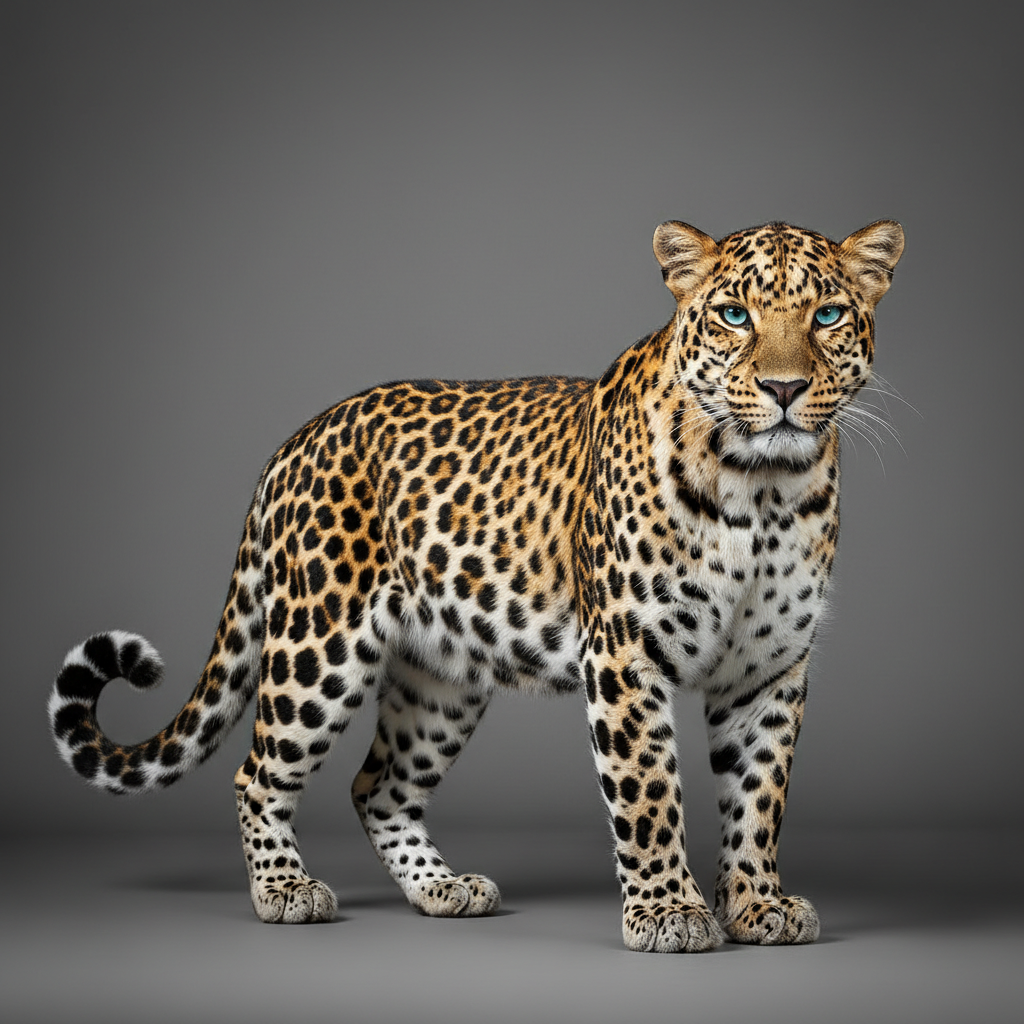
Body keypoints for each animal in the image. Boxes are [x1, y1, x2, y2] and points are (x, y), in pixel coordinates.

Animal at [48, 218, 904, 952]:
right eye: (733, 314)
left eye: (828, 314)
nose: (785, 388)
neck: (763, 490)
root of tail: (295, 442)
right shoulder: (625, 653)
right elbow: (649, 790)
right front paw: (668, 912)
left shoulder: (770, 668)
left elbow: (759, 795)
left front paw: (757, 904)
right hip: (318, 648)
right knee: (256, 774)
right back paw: (285, 891)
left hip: (440, 680)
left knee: (379, 786)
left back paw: (442, 888)